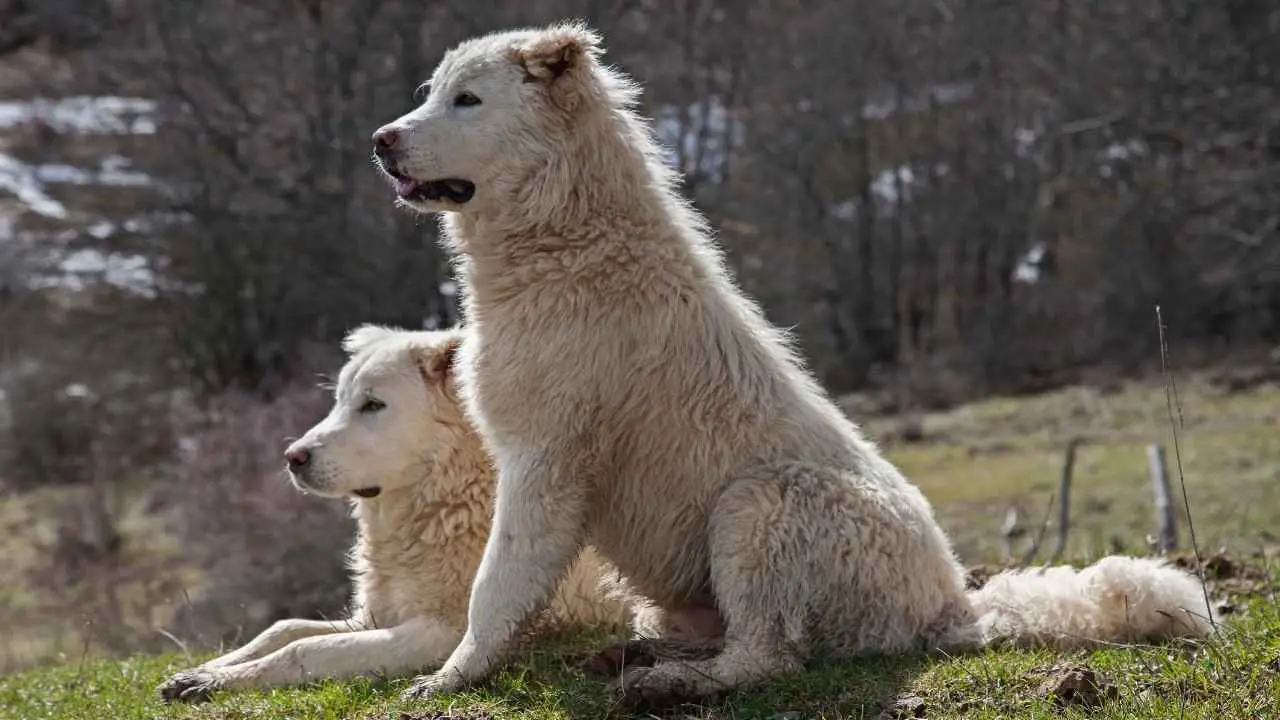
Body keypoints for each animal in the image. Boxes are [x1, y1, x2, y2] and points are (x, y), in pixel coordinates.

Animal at [157, 325, 627, 702]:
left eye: (372, 405)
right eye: (340, 401)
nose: (293, 457)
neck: (442, 504)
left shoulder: (441, 632)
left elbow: (304, 648)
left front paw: (215, 682)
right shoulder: (373, 616)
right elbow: (284, 628)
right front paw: (205, 671)